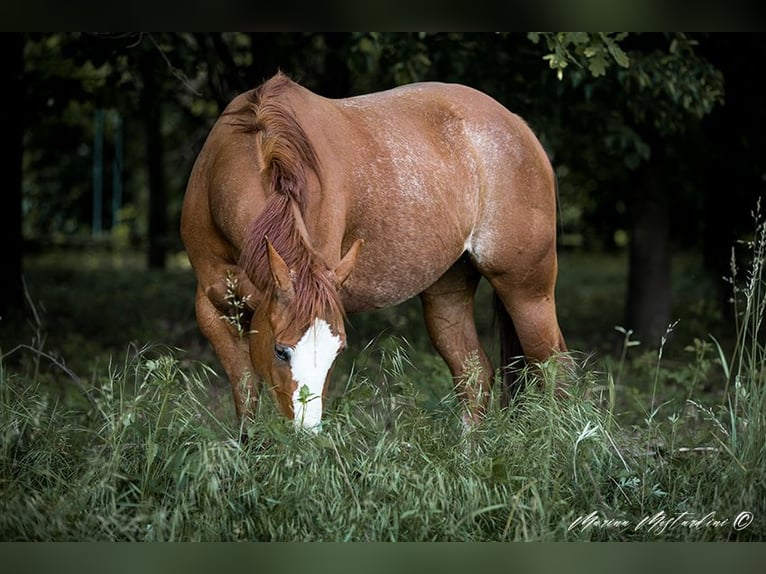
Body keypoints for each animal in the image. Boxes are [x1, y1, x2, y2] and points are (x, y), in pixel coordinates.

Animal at [181, 72, 567, 432]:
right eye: (280, 350)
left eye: (337, 352)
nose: (307, 431)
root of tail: (517, 125)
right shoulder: (215, 313)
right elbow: (246, 404)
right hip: (447, 294)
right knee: (474, 376)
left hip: (527, 292)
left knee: (554, 370)